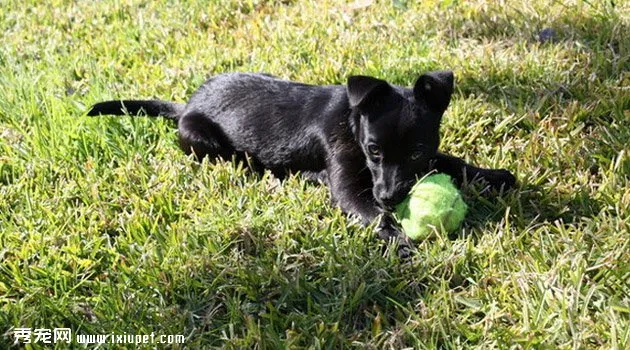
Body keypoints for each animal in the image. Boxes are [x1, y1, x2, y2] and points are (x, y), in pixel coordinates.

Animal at [90, 72, 520, 258]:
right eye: (373, 150)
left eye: (415, 153)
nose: (387, 196)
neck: (353, 120)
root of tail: (186, 106)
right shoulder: (349, 187)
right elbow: (373, 216)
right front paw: (400, 239)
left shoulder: (428, 156)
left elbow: (453, 160)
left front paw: (494, 175)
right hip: (199, 138)